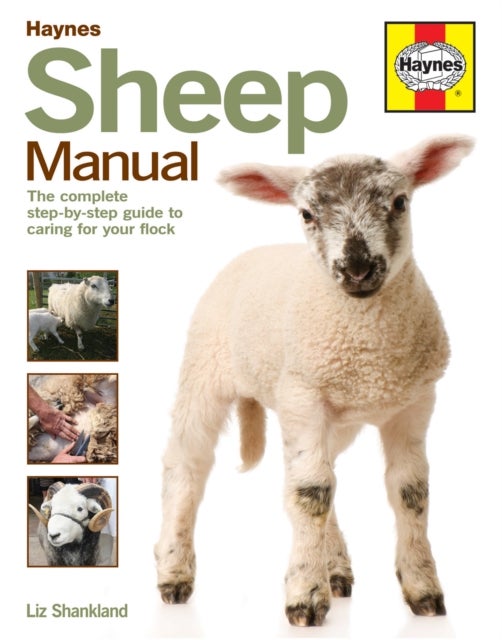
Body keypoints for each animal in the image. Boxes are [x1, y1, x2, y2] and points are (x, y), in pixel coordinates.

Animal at [154, 135, 473, 626]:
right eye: (306, 214)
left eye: (400, 202)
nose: (358, 268)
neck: (371, 354)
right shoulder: (304, 396)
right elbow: (310, 494)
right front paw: (304, 596)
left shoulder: (414, 402)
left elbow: (410, 492)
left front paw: (423, 589)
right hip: (205, 371)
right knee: (186, 466)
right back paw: (173, 571)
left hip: (333, 417)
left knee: (323, 472)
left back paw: (336, 568)